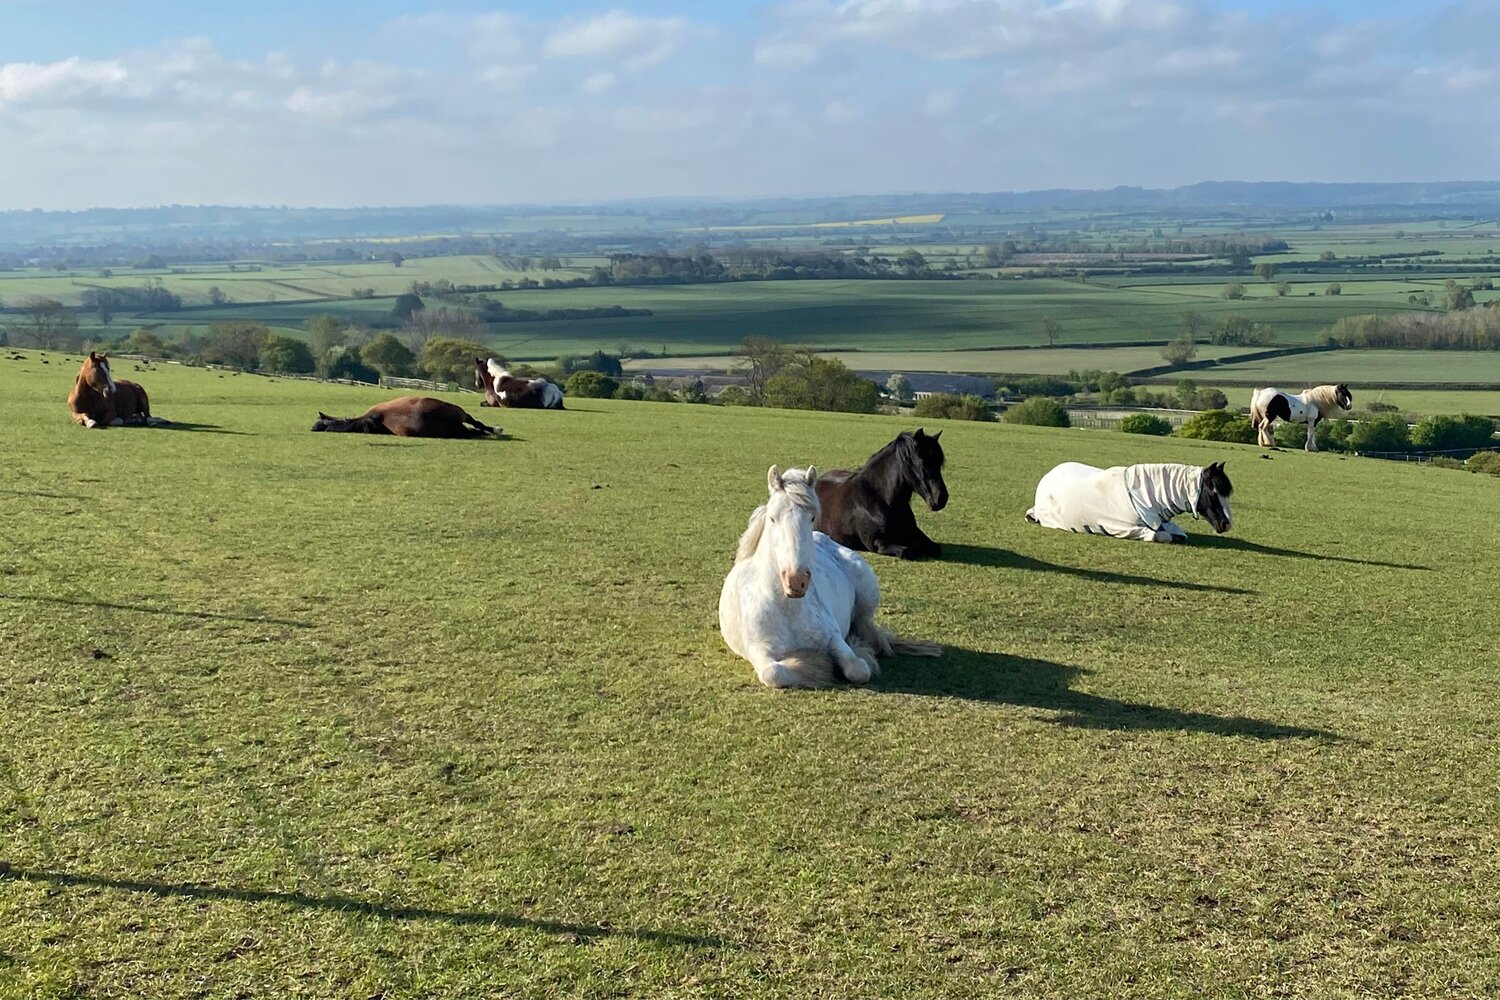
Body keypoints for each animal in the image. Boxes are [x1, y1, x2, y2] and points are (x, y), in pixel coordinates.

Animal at [718, 465, 940, 689]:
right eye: (773, 518)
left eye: (812, 517)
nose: (796, 580)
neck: (787, 610)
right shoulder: (759, 651)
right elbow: (774, 673)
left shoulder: (833, 636)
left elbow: (857, 668)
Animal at [814, 429, 948, 560]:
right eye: (922, 462)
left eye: (939, 463)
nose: (941, 498)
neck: (881, 500)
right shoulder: (877, 543)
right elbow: (907, 551)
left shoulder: (913, 532)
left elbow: (935, 548)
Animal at [1025, 461, 1232, 543]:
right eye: (1213, 491)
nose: (1226, 524)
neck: (1146, 496)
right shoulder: (1121, 528)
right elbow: (1161, 536)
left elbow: (1180, 534)